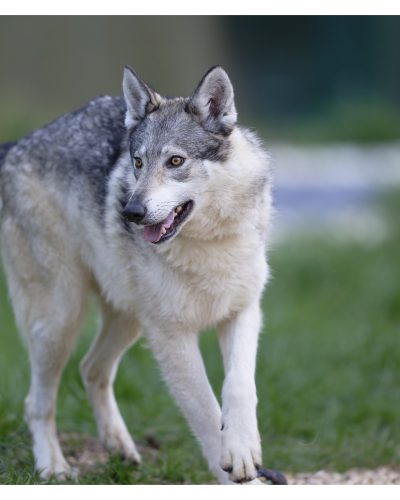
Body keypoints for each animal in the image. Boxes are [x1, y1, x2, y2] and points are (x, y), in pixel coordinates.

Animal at [0, 64, 272, 482]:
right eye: (138, 163)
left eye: (175, 161)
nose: (131, 212)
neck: (209, 243)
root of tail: (17, 145)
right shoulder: (172, 338)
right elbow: (207, 413)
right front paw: (234, 473)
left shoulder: (241, 311)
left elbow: (239, 387)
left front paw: (242, 450)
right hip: (60, 322)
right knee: (37, 402)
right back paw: (53, 466)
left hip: (127, 321)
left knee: (90, 369)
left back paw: (119, 447)